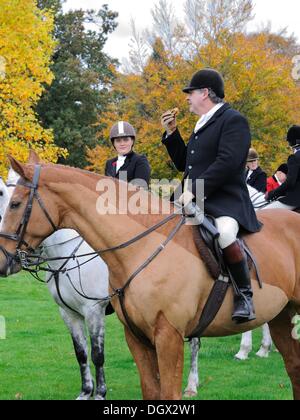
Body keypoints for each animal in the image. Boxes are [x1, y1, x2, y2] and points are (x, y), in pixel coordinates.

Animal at [0, 158, 300, 400]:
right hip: (281, 314)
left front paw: (99, 393)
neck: (141, 248)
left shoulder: (152, 330)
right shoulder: (95, 322)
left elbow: (99, 355)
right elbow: (83, 354)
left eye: (14, 203)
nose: (3, 261)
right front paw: (85, 392)